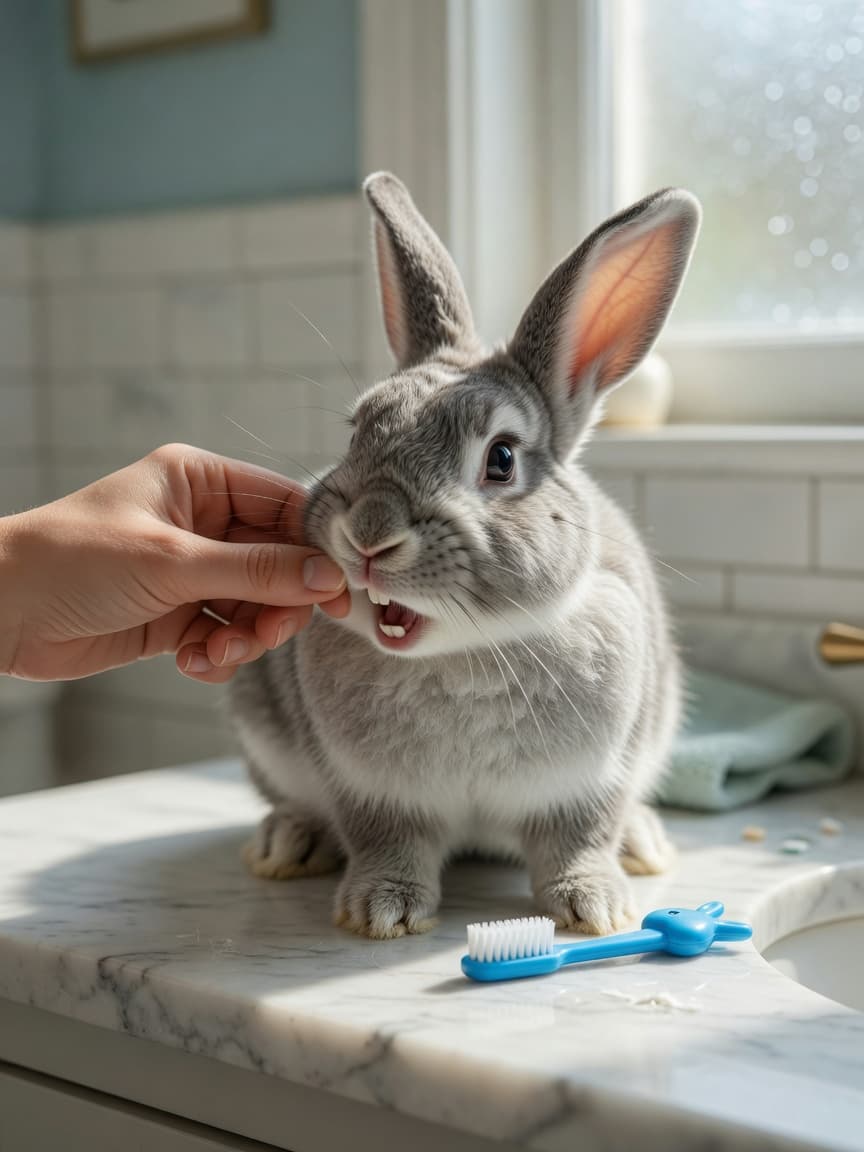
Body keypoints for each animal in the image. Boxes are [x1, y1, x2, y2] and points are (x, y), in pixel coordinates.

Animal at [228, 172, 701, 940]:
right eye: (358, 432)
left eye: (501, 459)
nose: (369, 532)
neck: (466, 654)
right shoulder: (373, 794)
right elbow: (387, 842)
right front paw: (380, 911)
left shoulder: (587, 785)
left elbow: (579, 838)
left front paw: (594, 909)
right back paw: (286, 842)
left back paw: (642, 843)